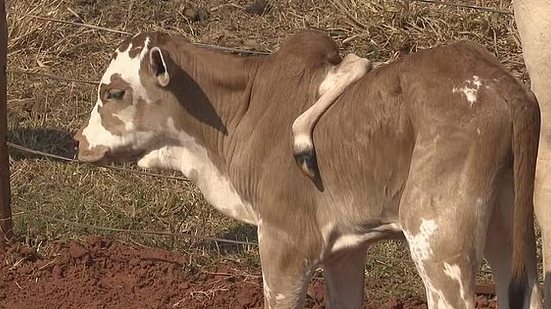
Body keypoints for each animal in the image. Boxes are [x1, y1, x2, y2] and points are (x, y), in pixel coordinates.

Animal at [74, 29, 544, 308]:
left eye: (114, 92)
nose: (80, 143)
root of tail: (503, 86)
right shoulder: (344, 250)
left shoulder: (285, 243)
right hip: (507, 230)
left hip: (439, 244)